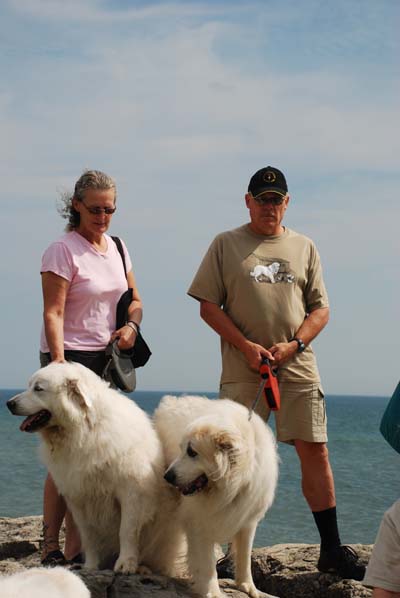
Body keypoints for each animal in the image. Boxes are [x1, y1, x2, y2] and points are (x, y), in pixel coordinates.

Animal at [7, 364, 182, 580]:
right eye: (29, 385)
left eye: (38, 388)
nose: (9, 403)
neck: (84, 429)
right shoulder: (80, 498)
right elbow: (88, 536)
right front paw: (90, 566)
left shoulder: (131, 493)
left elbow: (127, 530)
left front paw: (126, 563)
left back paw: (144, 567)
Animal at [153, 396, 278, 596]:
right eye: (181, 449)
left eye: (191, 452)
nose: (168, 476)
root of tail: (170, 400)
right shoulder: (198, 522)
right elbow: (206, 563)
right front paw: (212, 591)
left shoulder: (247, 520)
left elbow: (244, 556)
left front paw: (248, 586)